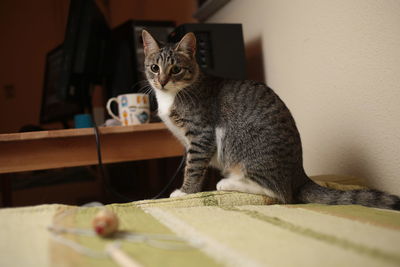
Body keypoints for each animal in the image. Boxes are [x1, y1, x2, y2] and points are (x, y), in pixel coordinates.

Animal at [142, 28, 398, 209]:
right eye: (154, 68)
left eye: (176, 69)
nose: (162, 81)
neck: (173, 95)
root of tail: (299, 175)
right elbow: (192, 163)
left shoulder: (201, 133)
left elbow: (193, 167)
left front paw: (185, 191)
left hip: (243, 144)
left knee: (278, 193)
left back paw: (227, 183)